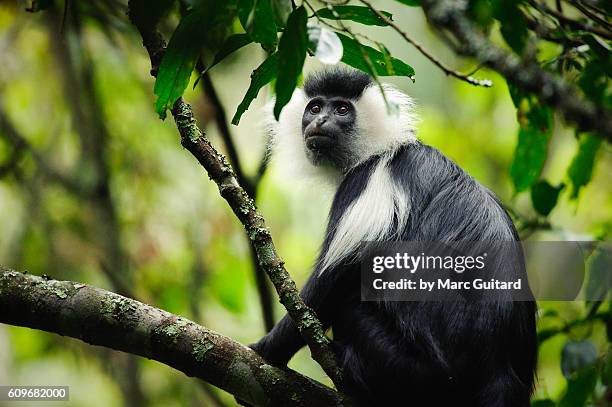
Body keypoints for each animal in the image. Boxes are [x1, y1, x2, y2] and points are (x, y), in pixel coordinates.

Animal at [252, 68, 536, 406]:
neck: (381, 147)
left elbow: (329, 283)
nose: (319, 121)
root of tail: (498, 367)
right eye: (316, 107)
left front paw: (265, 350)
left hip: (420, 371)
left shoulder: (367, 181)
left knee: (350, 307)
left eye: (342, 109)